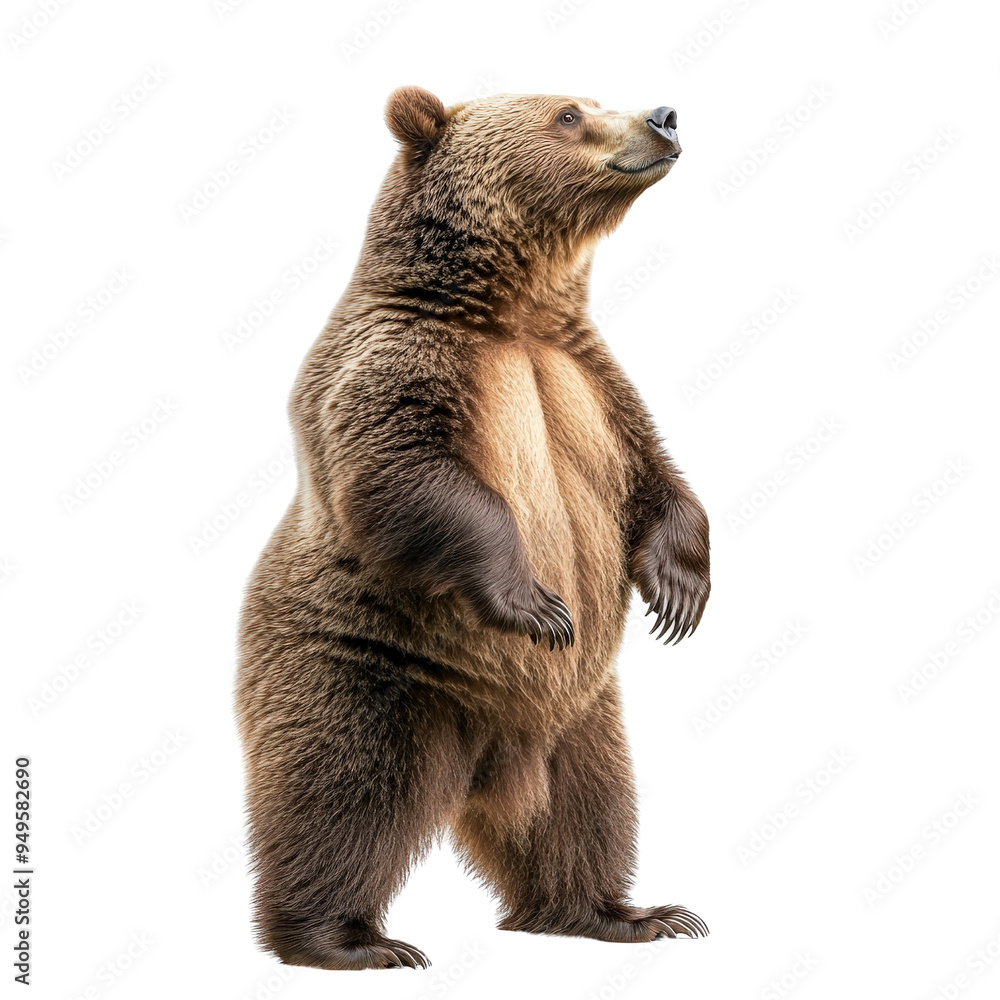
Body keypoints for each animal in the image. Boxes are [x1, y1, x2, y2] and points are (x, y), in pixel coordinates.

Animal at [235, 87, 711, 971]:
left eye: (598, 99)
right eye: (569, 111)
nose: (664, 116)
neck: (512, 308)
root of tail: (492, 762)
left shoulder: (590, 380)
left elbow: (656, 478)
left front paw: (680, 591)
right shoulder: (400, 361)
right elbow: (408, 471)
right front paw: (538, 605)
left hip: (581, 717)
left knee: (587, 809)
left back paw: (624, 912)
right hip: (371, 673)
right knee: (340, 795)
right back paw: (348, 941)